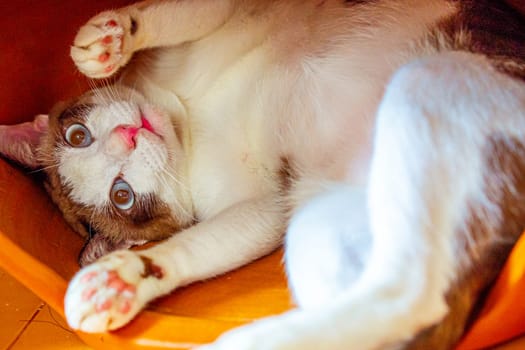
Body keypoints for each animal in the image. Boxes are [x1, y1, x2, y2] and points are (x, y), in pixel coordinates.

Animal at [1, 0, 524, 348]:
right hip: (319, 224)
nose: (130, 134)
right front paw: (130, 275)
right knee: (405, 293)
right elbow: (211, 240)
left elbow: (182, 11)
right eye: (123, 195)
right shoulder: (265, 205)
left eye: (78, 135)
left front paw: (111, 39)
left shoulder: (235, 12)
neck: (185, 112)